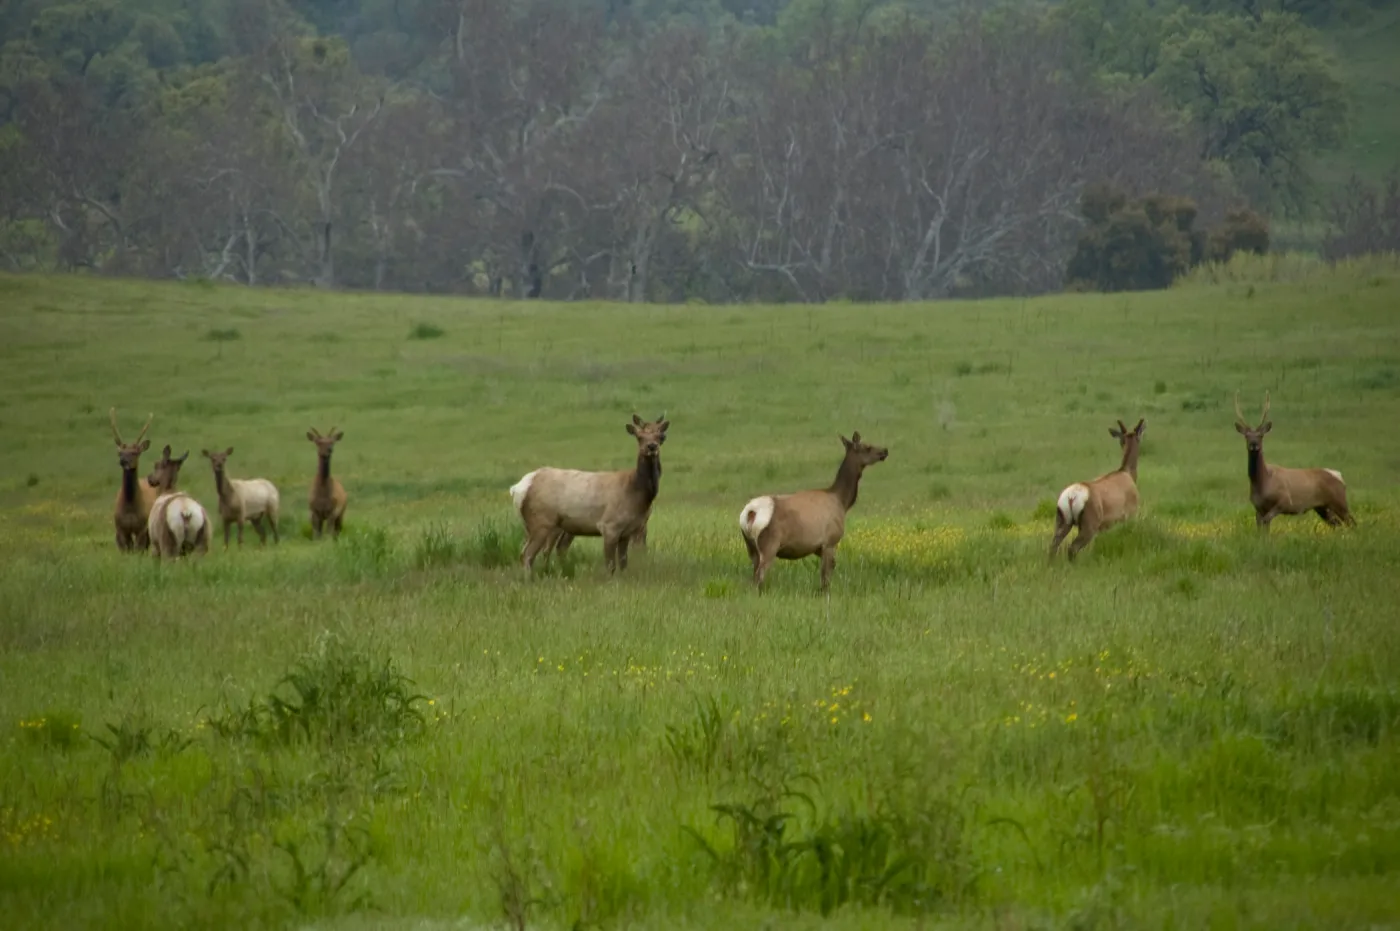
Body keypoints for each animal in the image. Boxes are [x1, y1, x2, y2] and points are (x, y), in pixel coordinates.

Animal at [109, 408, 158, 552]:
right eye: (120, 453)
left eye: (135, 452)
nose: (123, 461)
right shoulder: (120, 528)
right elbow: (126, 550)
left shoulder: (142, 527)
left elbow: (138, 549)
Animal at [510, 414, 669, 574]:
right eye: (639, 437)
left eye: (660, 436)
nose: (652, 446)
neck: (637, 494)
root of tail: (518, 488)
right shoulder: (609, 526)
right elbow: (610, 565)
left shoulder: (628, 531)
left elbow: (624, 563)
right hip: (542, 521)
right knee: (528, 554)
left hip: (539, 525)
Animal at [738, 431, 888, 593]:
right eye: (868, 447)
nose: (885, 451)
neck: (842, 502)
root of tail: (750, 512)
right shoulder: (830, 541)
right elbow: (826, 577)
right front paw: (825, 594)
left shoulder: (818, 548)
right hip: (769, 545)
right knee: (758, 577)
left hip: (751, 547)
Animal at [1049, 418, 1145, 562]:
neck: (1128, 474)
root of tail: (1071, 497)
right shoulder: (1129, 514)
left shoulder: (1104, 526)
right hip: (1090, 523)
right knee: (1072, 548)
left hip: (1062, 520)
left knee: (1053, 545)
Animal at [1234, 392, 1354, 531]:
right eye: (1246, 436)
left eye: (1261, 435)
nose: (1254, 445)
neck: (1263, 483)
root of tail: (1339, 477)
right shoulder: (1259, 509)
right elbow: (1262, 529)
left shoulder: (1284, 500)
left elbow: (1266, 521)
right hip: (1322, 507)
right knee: (1337, 524)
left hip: (1339, 501)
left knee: (1352, 522)